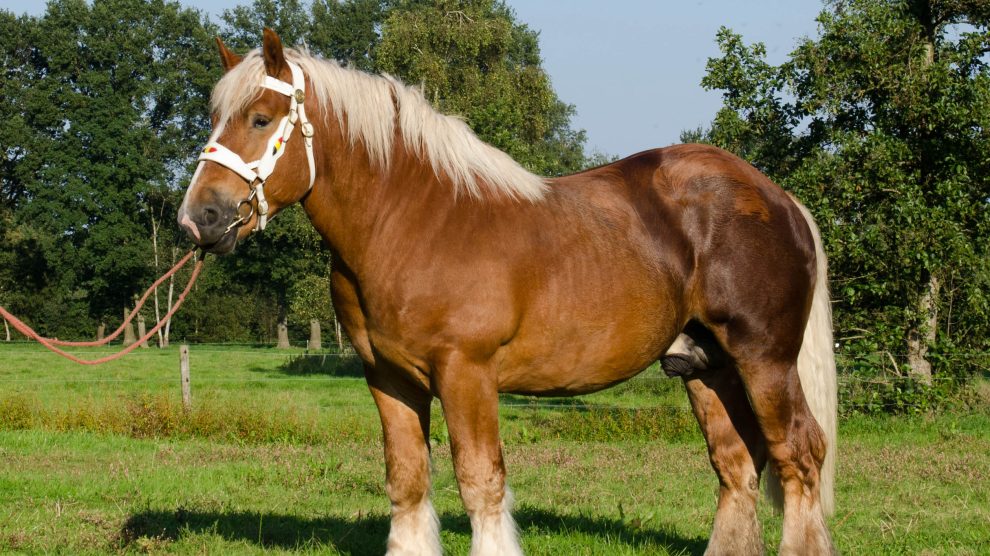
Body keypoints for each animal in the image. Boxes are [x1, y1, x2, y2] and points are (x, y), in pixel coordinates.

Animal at [178, 31, 836, 556]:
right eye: (214, 118)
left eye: (261, 118)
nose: (199, 218)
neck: (412, 221)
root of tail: (777, 198)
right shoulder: (387, 377)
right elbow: (408, 480)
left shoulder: (465, 373)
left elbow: (480, 480)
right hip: (704, 366)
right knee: (737, 465)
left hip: (764, 359)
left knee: (799, 455)